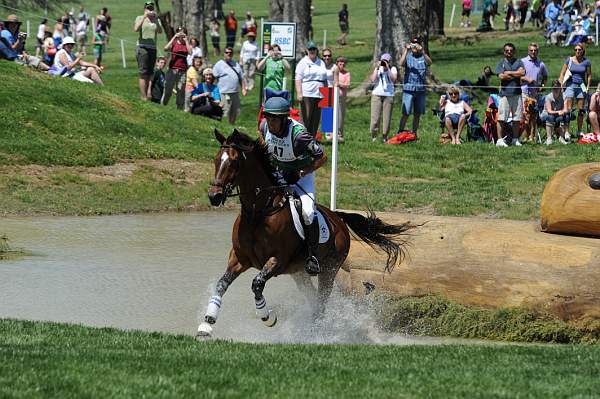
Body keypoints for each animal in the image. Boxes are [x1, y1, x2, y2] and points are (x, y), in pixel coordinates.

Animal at [197, 130, 412, 340]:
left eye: (234, 162)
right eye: (216, 159)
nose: (214, 196)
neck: (258, 213)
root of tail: (338, 219)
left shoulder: (277, 260)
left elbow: (257, 284)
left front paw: (267, 316)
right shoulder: (239, 258)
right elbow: (222, 284)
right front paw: (206, 324)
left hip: (329, 269)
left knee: (321, 300)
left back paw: (314, 333)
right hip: (299, 272)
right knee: (312, 297)